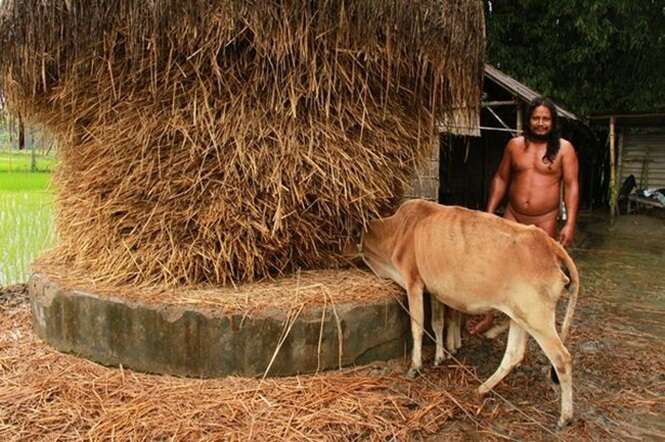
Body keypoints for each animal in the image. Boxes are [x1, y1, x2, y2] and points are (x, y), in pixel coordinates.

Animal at [360, 199, 580, 426]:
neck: (400, 230)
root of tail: (549, 243)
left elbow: (417, 327)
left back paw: (565, 417)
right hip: (519, 316)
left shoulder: (414, 282)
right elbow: (437, 323)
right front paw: (440, 357)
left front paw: (415, 366)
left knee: (562, 359)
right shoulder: (434, 290)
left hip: (538, 318)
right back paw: (482, 388)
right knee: (514, 354)